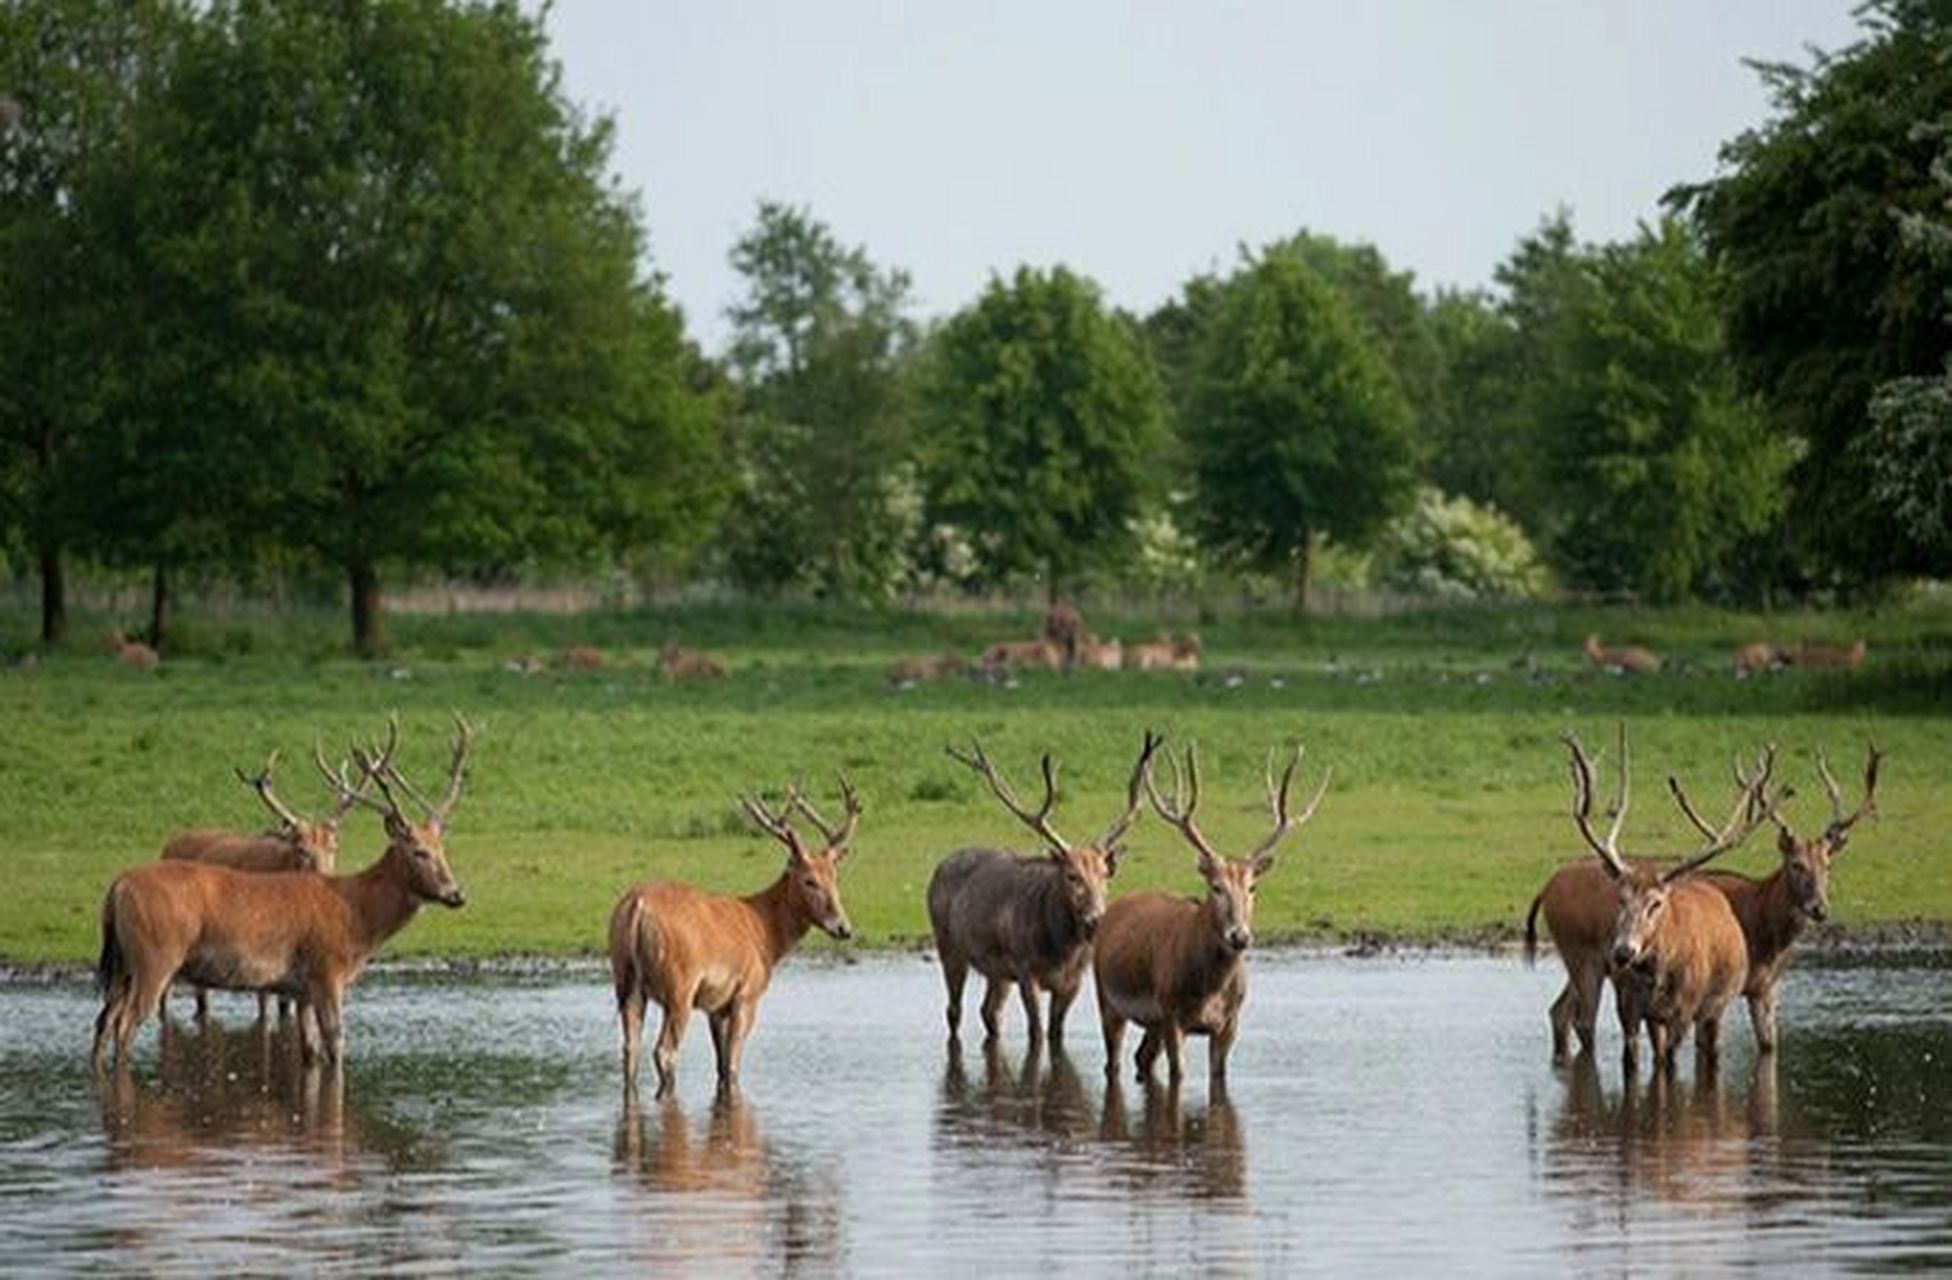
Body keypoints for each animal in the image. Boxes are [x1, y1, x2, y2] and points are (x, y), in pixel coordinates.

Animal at [162, 745, 374, 1022]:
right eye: (301, 848)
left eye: (333, 847)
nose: (325, 881)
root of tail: (166, 846)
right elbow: (263, 1010)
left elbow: (287, 1010)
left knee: (201, 998)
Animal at [605, 776, 858, 1092]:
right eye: (809, 880)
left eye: (835, 877)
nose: (843, 927)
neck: (765, 934)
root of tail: (638, 907)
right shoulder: (746, 994)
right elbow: (734, 1065)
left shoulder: (717, 1007)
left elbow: (722, 1066)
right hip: (680, 986)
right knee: (664, 1051)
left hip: (626, 981)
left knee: (630, 1048)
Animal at [925, 729, 1155, 1053]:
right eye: (1072, 876)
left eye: (1104, 876)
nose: (1095, 920)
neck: (1061, 950)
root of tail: (938, 868)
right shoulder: (1025, 969)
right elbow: (1037, 1033)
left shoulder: (1073, 981)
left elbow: (1056, 1033)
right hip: (949, 945)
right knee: (954, 1010)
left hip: (998, 970)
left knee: (989, 1011)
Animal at [1100, 745, 1327, 1084]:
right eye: (1216, 887)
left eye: (1252, 887)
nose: (1240, 936)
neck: (1210, 991)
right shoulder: (1172, 1012)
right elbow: (1179, 1074)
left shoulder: (1230, 1022)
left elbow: (1219, 1077)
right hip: (1108, 998)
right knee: (1113, 1061)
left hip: (1152, 1020)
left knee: (1142, 1058)